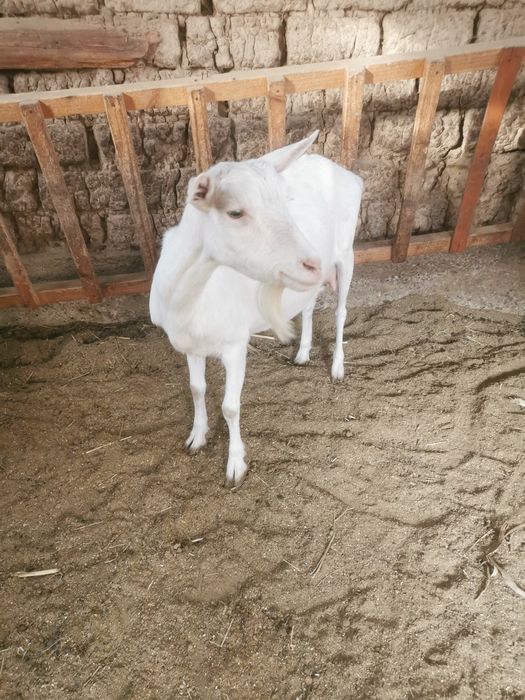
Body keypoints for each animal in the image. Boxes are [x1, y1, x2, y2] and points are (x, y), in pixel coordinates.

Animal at [149, 131, 363, 488]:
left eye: (287, 201)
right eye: (235, 213)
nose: (313, 264)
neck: (189, 300)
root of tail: (345, 172)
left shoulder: (235, 345)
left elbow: (230, 407)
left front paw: (235, 465)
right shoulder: (190, 344)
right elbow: (196, 388)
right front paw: (197, 437)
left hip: (347, 254)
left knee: (340, 312)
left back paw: (336, 368)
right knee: (308, 307)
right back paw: (303, 353)